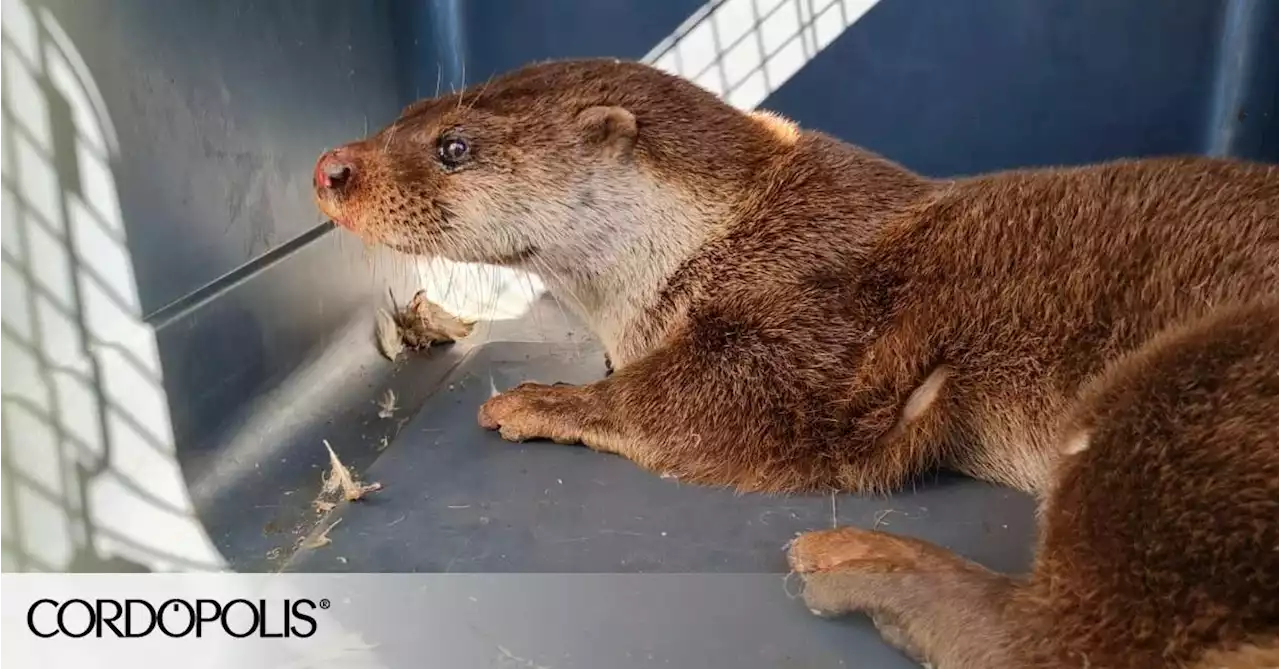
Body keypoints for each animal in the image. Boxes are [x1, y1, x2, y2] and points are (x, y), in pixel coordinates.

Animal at [312, 60, 1280, 665]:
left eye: (454, 147)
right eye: (404, 116)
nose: (330, 165)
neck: (728, 232)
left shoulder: (817, 323)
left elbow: (698, 403)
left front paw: (542, 397)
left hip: (1188, 392)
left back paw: (862, 561)